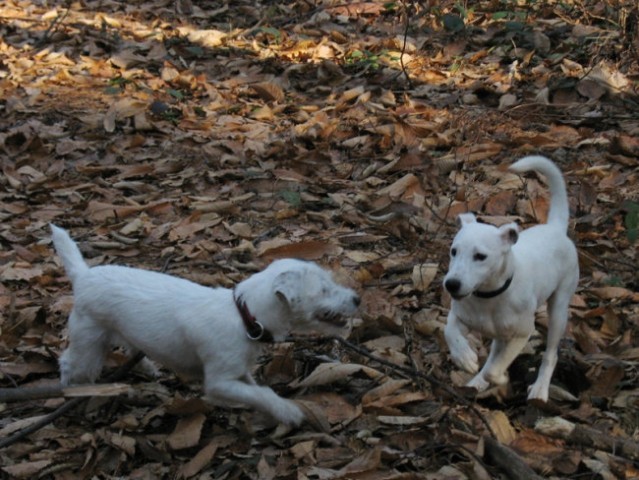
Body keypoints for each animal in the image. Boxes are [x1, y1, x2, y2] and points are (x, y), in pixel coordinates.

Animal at [51, 226, 360, 428]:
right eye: (323, 289)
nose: (357, 299)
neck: (243, 315)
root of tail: (83, 275)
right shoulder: (219, 382)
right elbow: (260, 393)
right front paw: (287, 412)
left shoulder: (238, 371)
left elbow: (255, 388)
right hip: (88, 344)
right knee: (67, 362)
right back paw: (68, 391)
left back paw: (147, 367)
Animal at [444, 157, 580, 402]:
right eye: (453, 251)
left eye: (480, 256)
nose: (451, 285)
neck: (488, 296)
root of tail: (555, 227)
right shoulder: (459, 315)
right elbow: (449, 330)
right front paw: (464, 357)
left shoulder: (522, 334)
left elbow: (495, 368)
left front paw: (499, 378)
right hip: (501, 333)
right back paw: (477, 381)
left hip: (559, 309)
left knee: (550, 354)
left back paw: (540, 389)